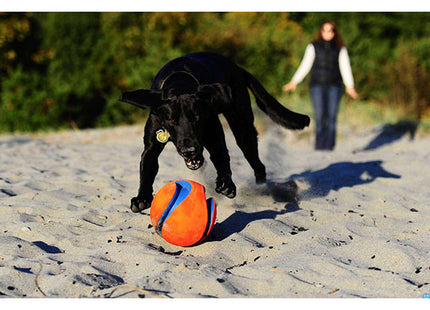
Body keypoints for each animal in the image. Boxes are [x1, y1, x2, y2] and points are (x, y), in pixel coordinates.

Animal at [120, 53, 310, 213]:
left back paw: (261, 190)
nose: (189, 151)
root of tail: (236, 67)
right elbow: (146, 170)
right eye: (171, 120)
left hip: (243, 129)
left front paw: (226, 184)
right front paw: (141, 198)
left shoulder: (215, 138)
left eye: (196, 116)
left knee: (258, 164)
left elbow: (222, 160)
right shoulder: (151, 146)